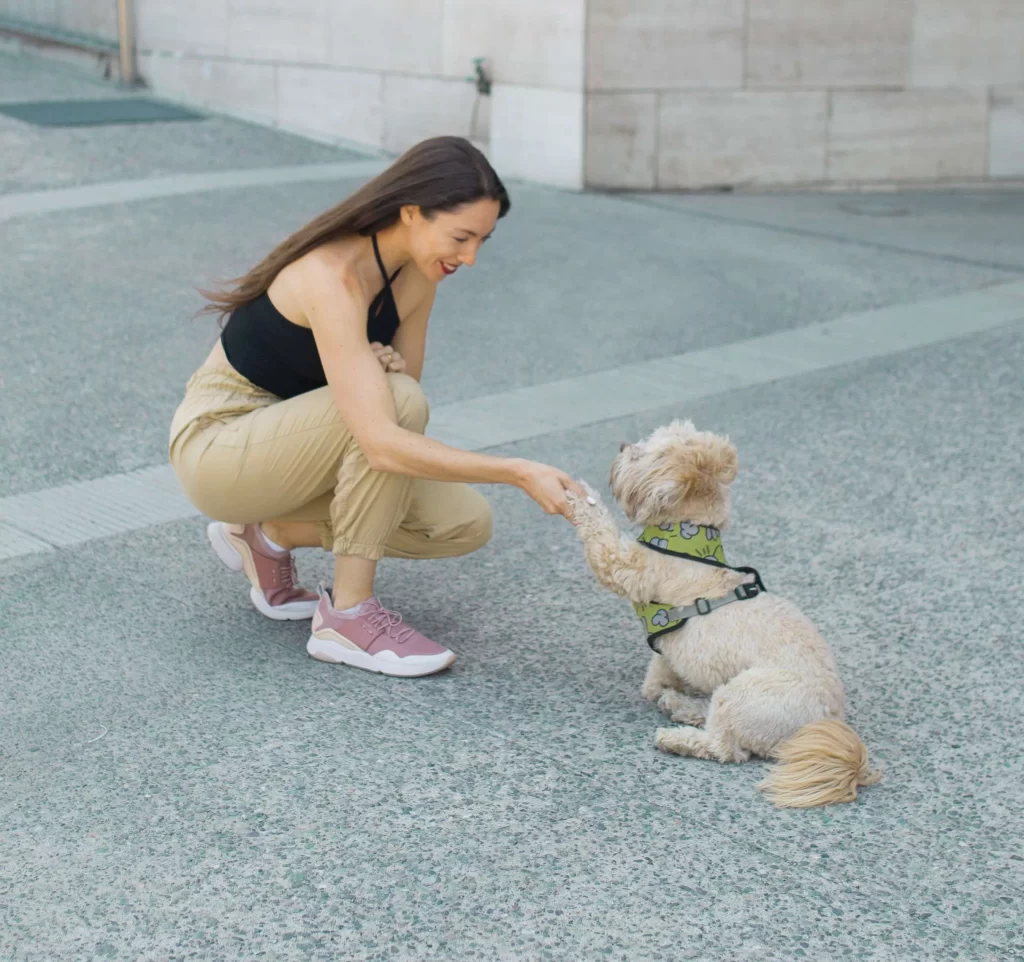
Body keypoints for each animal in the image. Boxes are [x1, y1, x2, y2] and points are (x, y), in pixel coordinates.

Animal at [569, 417, 880, 807]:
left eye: (646, 451)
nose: (624, 446)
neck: (686, 541)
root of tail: (826, 719)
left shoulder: (630, 567)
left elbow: (602, 539)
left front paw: (580, 497)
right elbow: (660, 669)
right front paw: (658, 686)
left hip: (744, 695)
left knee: (725, 748)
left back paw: (676, 738)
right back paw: (681, 705)